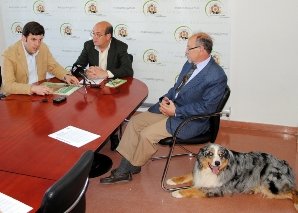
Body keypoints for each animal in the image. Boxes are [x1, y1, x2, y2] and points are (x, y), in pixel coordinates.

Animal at [166, 142, 296, 211]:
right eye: (210, 154)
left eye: (221, 155)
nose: (217, 163)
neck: (212, 172)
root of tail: (285, 164)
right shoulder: (199, 174)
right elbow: (188, 175)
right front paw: (172, 180)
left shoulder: (217, 189)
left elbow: (195, 189)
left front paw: (177, 192)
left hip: (270, 185)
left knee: (293, 192)